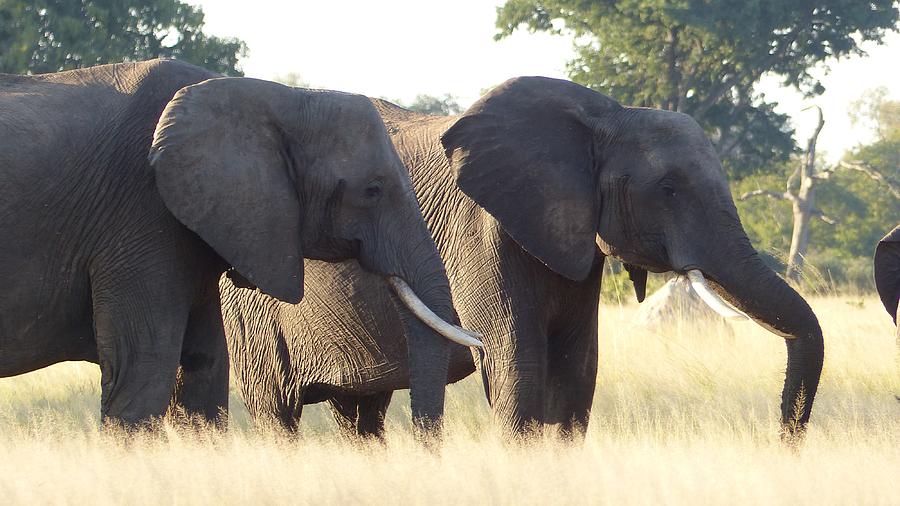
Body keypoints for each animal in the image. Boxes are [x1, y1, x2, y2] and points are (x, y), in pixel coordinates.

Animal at [221, 76, 828, 442]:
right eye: (670, 189)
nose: (783, 442)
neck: (605, 116)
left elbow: (577, 369)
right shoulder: (483, 232)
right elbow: (520, 362)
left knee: (360, 412)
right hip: (248, 297)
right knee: (276, 406)